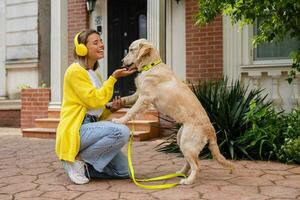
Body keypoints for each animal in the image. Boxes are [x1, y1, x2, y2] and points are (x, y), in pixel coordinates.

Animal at [112, 38, 234, 184]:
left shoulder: (144, 98)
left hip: (187, 143)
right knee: (190, 162)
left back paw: (188, 181)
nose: (121, 61)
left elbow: (130, 111)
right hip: (181, 139)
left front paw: (119, 120)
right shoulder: (138, 94)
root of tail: (211, 129)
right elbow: (126, 99)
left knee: (196, 165)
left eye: (131, 50)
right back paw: (181, 173)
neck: (151, 66)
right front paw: (111, 104)